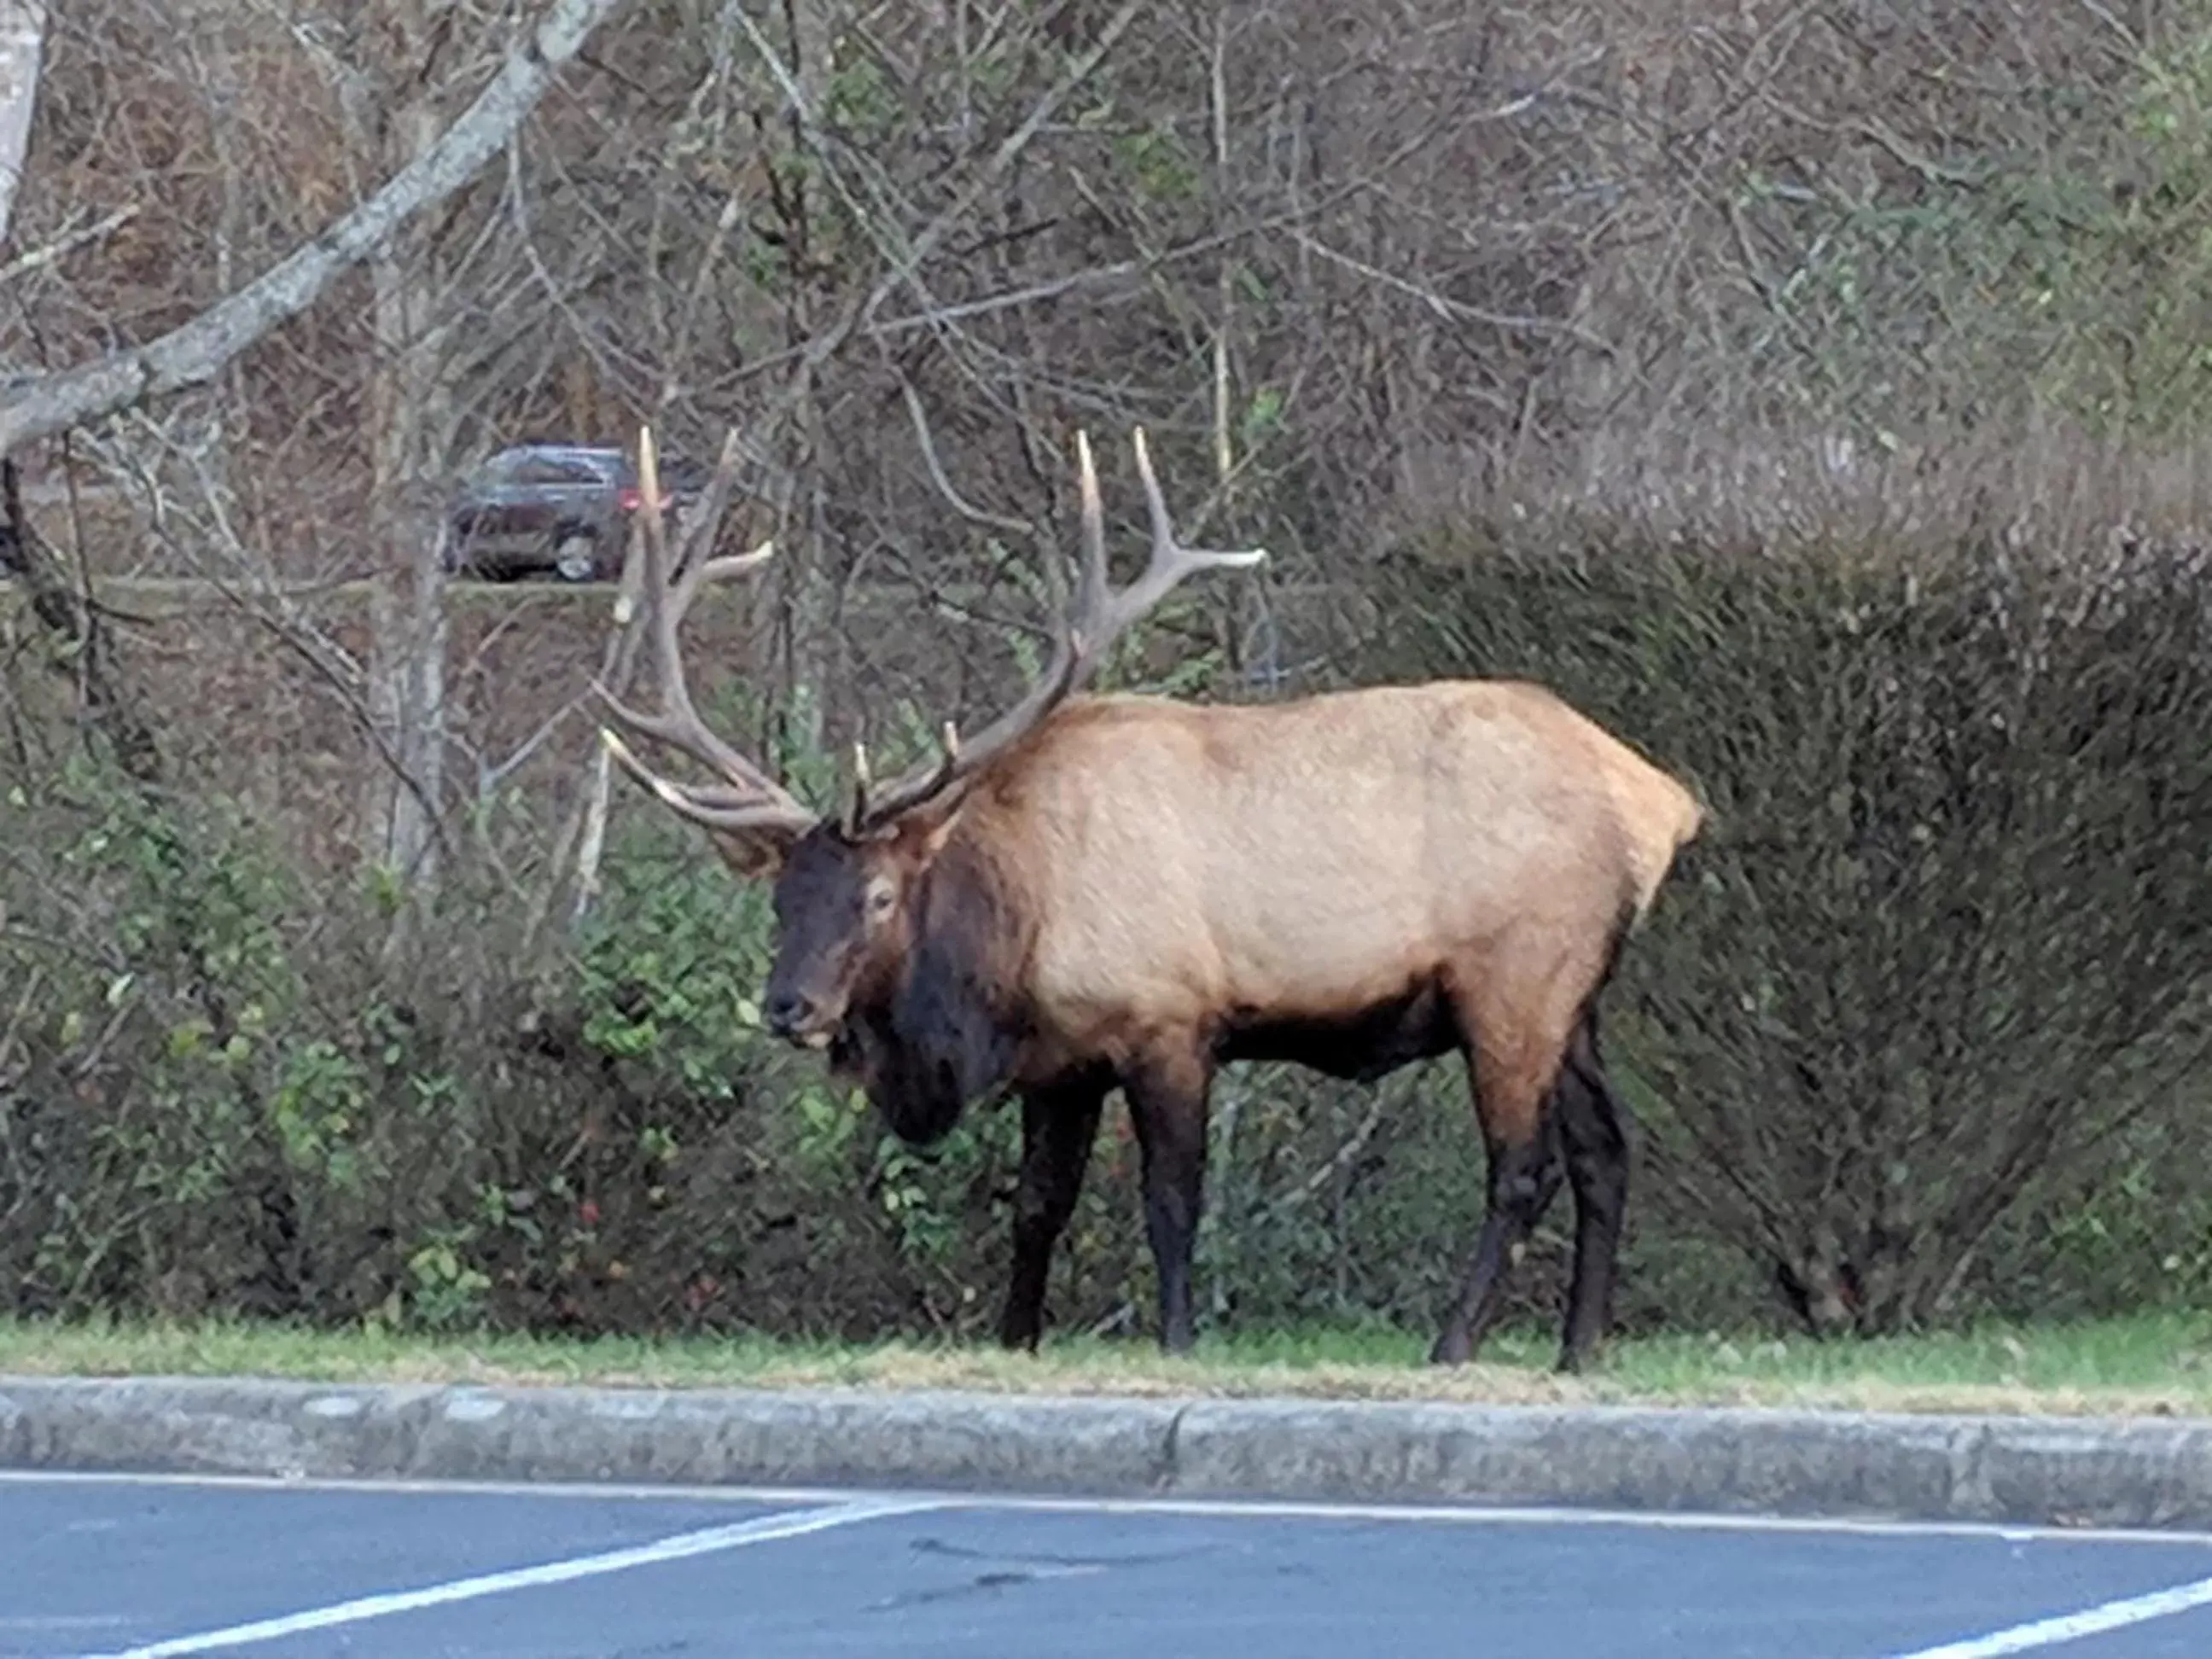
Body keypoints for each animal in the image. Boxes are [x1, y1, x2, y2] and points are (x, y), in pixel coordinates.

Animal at [597, 422, 1698, 1371]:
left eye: (874, 895)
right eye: (781, 898)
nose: (791, 1006)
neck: (1009, 939)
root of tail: (1662, 803)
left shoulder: (1170, 1019)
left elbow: (1172, 1202)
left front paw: (1177, 1341)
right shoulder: (1061, 1063)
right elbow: (1038, 1205)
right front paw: (1016, 1342)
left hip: (1512, 980)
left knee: (1523, 1168)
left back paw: (1455, 1343)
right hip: (1576, 998)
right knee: (1607, 1152)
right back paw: (1577, 1351)